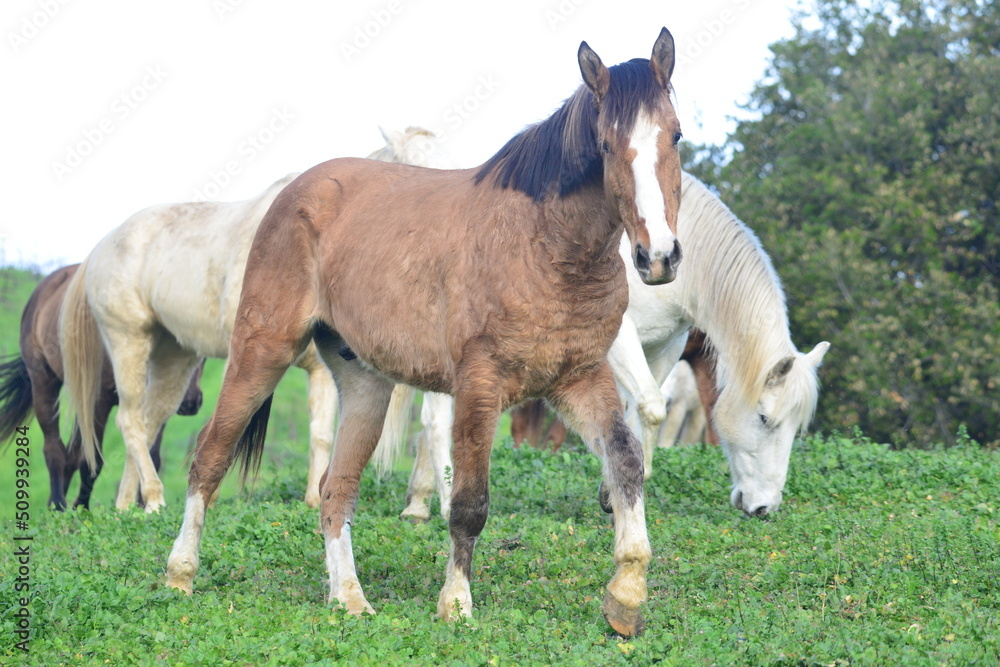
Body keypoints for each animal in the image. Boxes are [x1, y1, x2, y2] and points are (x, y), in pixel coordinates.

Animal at [0, 264, 204, 510]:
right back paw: (58, 505)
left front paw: (143, 506)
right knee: (54, 448)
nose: (189, 402)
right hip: (44, 385)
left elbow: (150, 455)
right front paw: (81, 508)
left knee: (70, 452)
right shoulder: (100, 402)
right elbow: (92, 461)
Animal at [60, 127, 452, 512]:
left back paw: (128, 505)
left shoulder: (327, 367)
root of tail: (102, 245)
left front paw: (317, 498)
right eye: (411, 168)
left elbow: (323, 433)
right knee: (130, 420)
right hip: (128, 341)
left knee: (148, 419)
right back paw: (154, 499)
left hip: (175, 354)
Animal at [165, 30, 683, 637]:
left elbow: (626, 460)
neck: (542, 246)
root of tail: (296, 192)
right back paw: (180, 576)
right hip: (261, 351)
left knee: (336, 488)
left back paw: (349, 598)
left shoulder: (578, 377)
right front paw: (456, 602)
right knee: (210, 457)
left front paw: (627, 593)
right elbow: (469, 501)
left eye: (676, 134)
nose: (658, 256)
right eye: (604, 144)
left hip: (364, 384)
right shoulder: (479, 385)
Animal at [400, 172, 829, 521]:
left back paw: (418, 504)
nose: (765, 507)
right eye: (764, 419)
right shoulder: (619, 338)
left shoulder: (667, 343)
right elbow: (651, 408)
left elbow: (634, 411)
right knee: (436, 420)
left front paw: (615, 490)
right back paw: (444, 502)